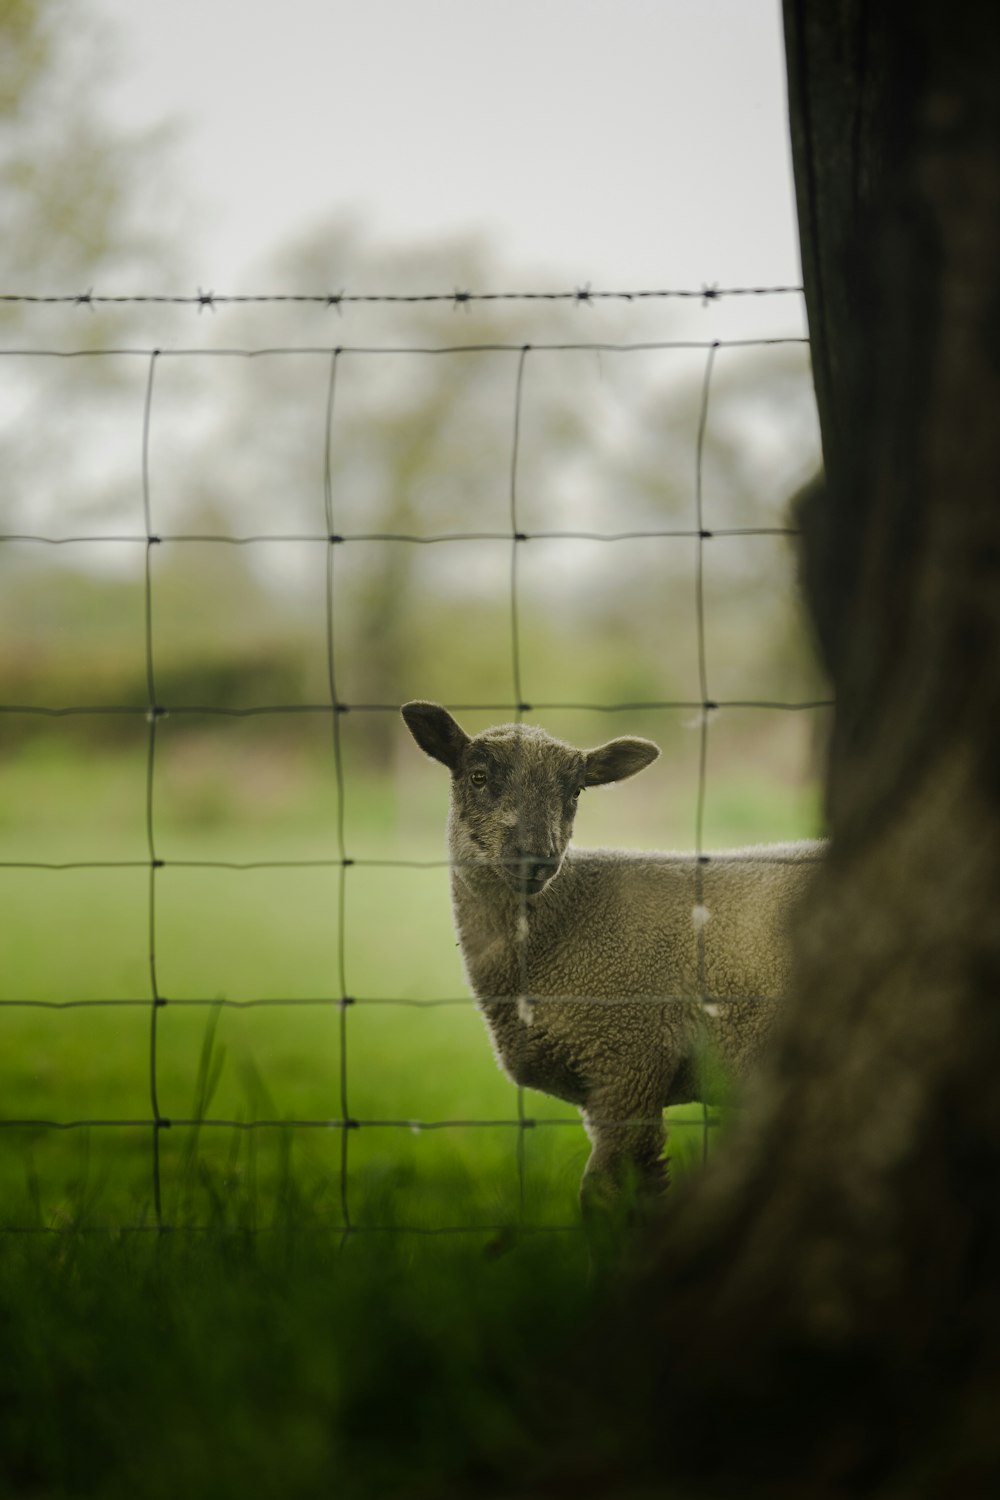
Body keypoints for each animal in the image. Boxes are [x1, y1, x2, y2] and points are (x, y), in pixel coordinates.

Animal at [401, 705, 827, 1218]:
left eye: (575, 791)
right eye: (478, 777)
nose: (537, 859)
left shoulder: (629, 1062)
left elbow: (606, 1197)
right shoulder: (608, 1079)